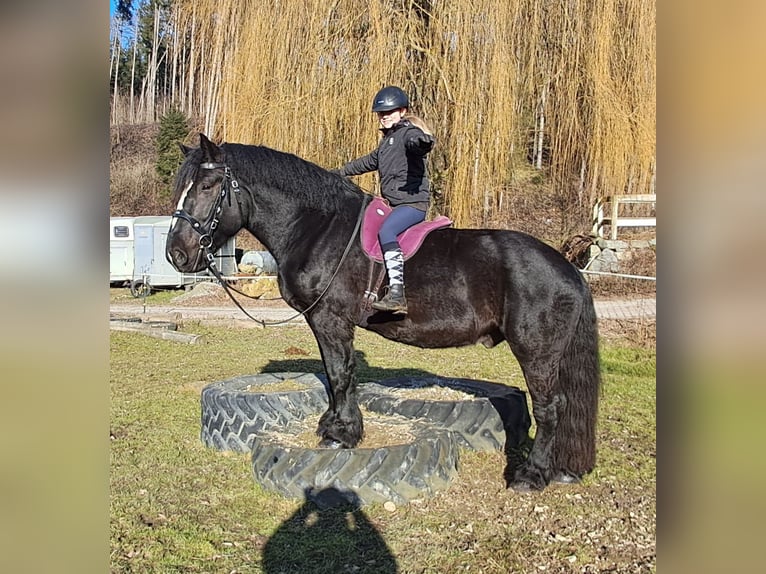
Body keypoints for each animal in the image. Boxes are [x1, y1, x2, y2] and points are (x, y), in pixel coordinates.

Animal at [165, 134, 604, 490]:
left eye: (207, 185)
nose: (177, 254)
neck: (318, 228)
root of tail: (567, 267)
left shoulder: (330, 320)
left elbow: (340, 374)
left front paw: (342, 433)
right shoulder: (324, 323)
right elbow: (334, 375)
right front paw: (334, 425)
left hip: (536, 351)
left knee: (550, 408)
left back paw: (531, 475)